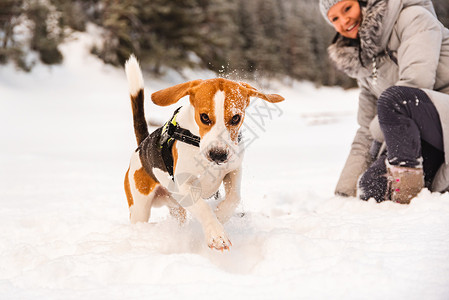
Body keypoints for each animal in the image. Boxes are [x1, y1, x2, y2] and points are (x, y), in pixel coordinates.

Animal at [123, 55, 284, 251]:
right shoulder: (185, 186)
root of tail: (141, 146)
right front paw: (216, 233)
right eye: (204, 117)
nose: (218, 155)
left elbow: (234, 198)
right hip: (139, 207)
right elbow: (203, 208)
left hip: (176, 209)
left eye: (236, 118)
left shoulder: (233, 170)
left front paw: (220, 216)